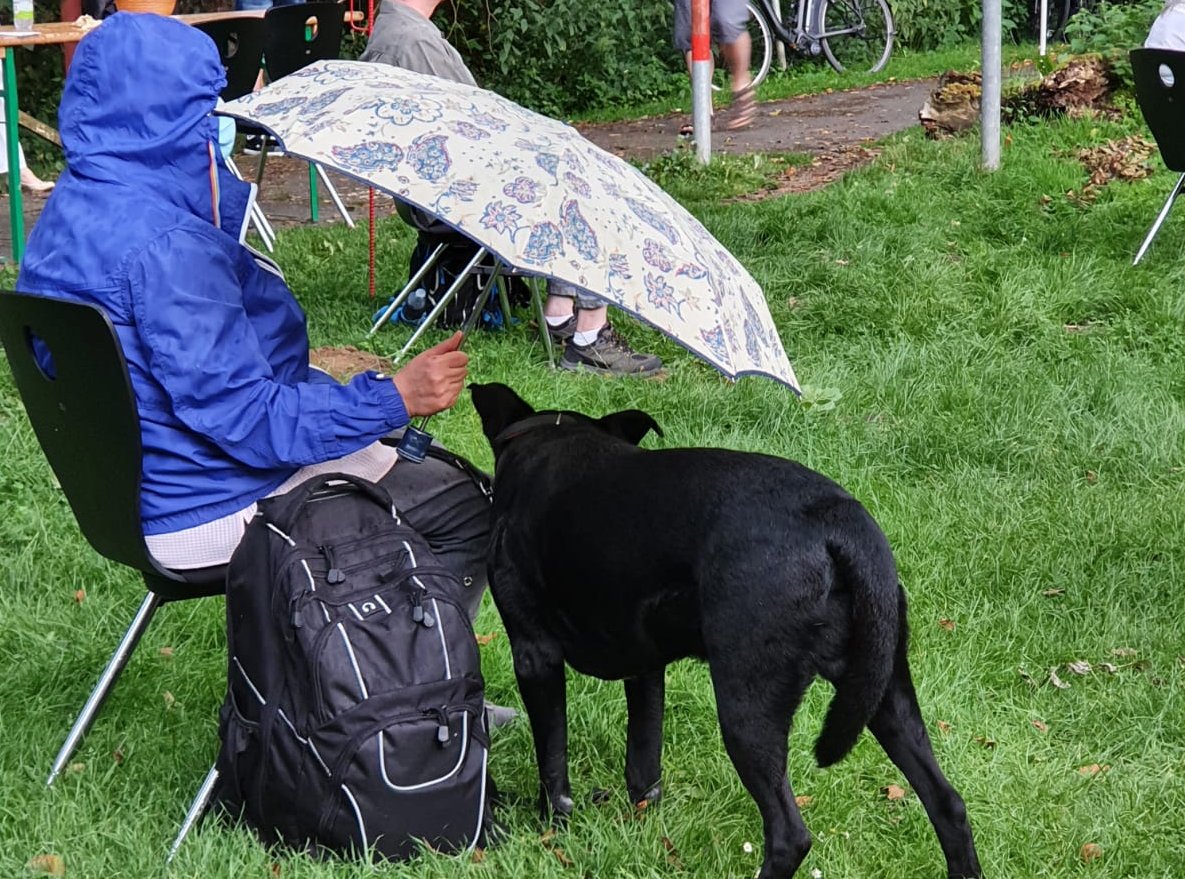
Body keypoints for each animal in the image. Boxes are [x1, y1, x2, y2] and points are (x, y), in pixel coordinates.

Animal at [471, 383, 981, 879]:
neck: (551, 438)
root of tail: (838, 521)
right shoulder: (646, 668)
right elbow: (644, 760)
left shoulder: (535, 655)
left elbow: (553, 760)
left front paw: (551, 829)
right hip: (885, 691)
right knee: (949, 804)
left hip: (747, 705)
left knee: (790, 835)